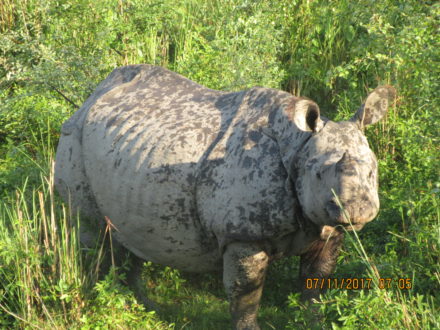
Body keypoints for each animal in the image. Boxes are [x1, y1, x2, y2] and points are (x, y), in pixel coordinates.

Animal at [54, 65, 396, 330]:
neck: (297, 148)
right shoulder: (242, 234)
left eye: (372, 172)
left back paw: (146, 305)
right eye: (319, 174)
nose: (357, 210)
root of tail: (94, 94)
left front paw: (315, 322)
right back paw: (96, 298)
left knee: (131, 233)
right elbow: (246, 292)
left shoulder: (327, 227)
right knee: (89, 226)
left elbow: (316, 283)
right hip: (74, 136)